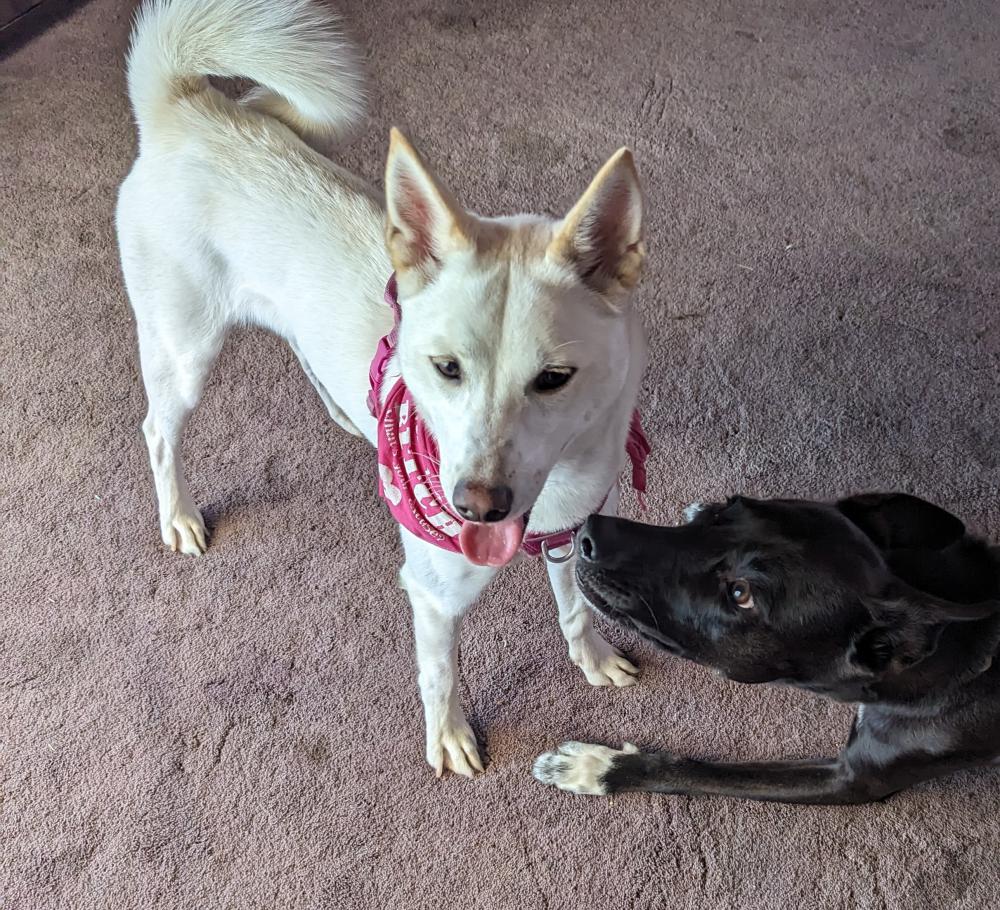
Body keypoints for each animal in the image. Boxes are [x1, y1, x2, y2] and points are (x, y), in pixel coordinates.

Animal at [116, 0, 649, 777]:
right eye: (446, 368)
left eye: (553, 380)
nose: (475, 507)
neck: (553, 492)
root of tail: (187, 109)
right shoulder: (433, 597)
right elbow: (441, 673)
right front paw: (449, 738)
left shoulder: (568, 535)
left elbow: (576, 607)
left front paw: (594, 658)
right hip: (183, 352)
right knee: (159, 431)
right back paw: (179, 517)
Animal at [533, 493, 1000, 803]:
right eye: (724, 510)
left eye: (741, 593)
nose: (589, 533)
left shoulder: (853, 780)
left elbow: (705, 773)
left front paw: (597, 767)